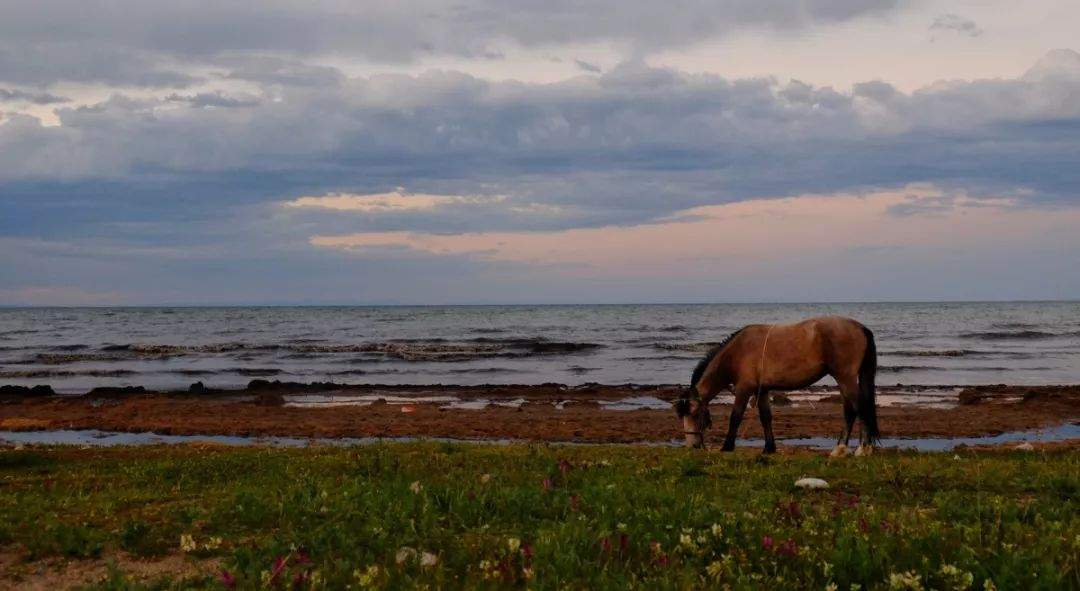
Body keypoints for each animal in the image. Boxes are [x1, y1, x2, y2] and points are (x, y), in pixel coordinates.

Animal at [673, 317, 876, 455]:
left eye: (694, 414)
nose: (693, 445)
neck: (737, 352)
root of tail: (859, 327)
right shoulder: (762, 391)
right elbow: (766, 418)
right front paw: (769, 448)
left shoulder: (744, 390)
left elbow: (735, 417)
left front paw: (727, 446)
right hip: (843, 380)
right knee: (850, 412)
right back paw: (839, 450)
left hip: (845, 378)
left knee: (860, 407)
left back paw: (863, 449)